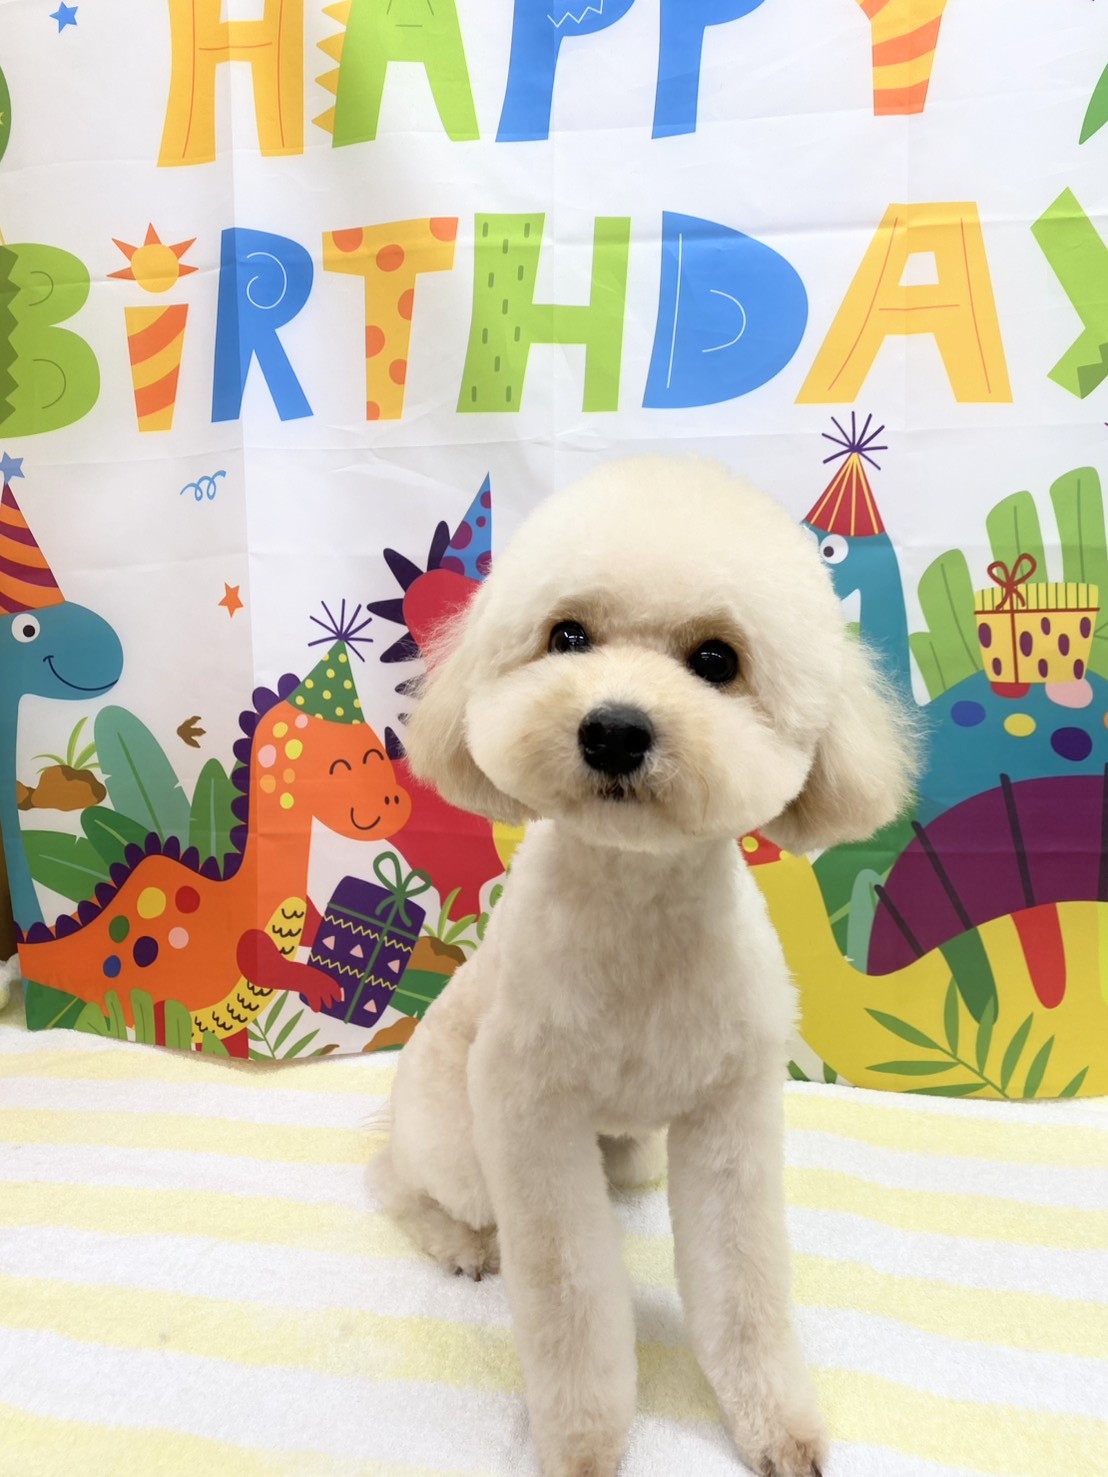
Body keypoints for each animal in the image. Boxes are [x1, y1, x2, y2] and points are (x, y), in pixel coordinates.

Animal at [374, 455, 917, 1477]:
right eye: (567, 636)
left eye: (716, 660)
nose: (615, 729)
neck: (636, 912)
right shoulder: (529, 1117)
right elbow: (569, 1300)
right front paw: (584, 1443)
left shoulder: (732, 1112)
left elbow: (742, 1286)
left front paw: (772, 1424)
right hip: (455, 1138)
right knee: (399, 1181)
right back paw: (459, 1238)